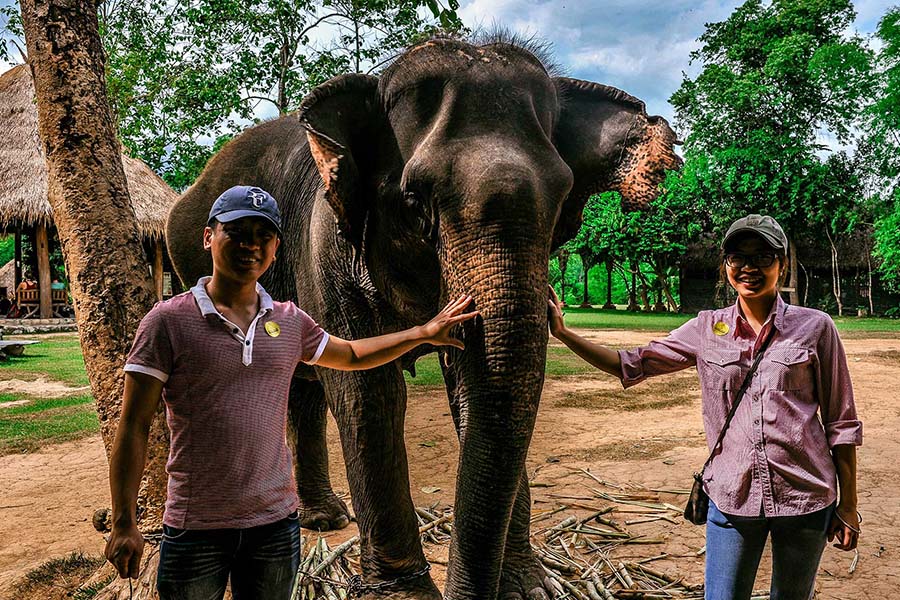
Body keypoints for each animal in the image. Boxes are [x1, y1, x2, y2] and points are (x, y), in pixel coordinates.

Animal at [165, 35, 680, 600]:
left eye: (564, 195)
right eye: (415, 200)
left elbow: (471, 389)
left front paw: (528, 586)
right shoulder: (324, 242)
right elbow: (369, 394)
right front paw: (406, 593)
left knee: (301, 384)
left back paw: (324, 517)